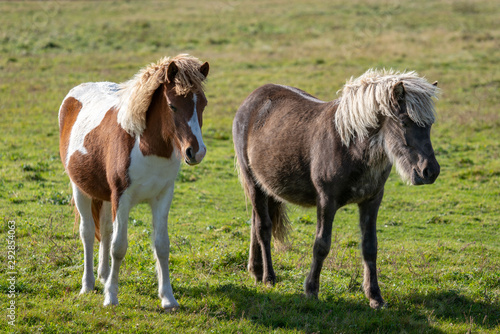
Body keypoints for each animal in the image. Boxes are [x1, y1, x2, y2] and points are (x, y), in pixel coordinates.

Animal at [58, 54, 209, 308]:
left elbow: (161, 245)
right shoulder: (122, 197)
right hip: (81, 189)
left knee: (105, 230)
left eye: (203, 104)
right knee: (87, 233)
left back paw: (104, 275)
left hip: (105, 195)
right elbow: (119, 247)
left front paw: (168, 298)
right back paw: (88, 285)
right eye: (172, 105)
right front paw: (111, 297)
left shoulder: (162, 197)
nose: (195, 152)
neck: (146, 146)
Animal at [232, 69, 440, 310]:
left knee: (255, 223)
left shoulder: (371, 200)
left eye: (429, 124)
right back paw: (268, 277)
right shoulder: (326, 201)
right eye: (405, 122)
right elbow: (321, 244)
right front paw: (311, 290)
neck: (350, 145)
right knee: (263, 228)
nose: (430, 171)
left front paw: (375, 297)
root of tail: (252, 99)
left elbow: (370, 247)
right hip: (253, 182)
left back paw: (256, 271)